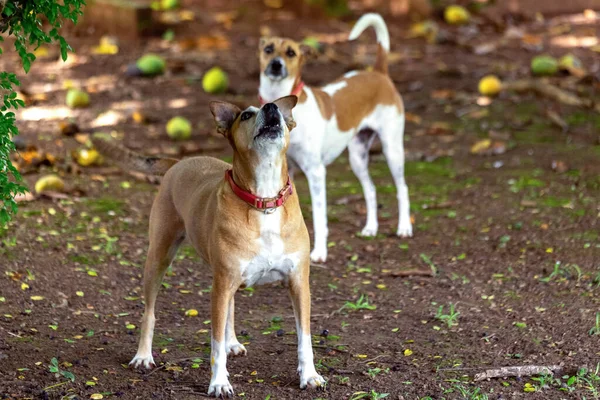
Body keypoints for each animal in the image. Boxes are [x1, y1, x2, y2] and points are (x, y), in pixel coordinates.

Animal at [93, 96, 326, 396]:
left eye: (277, 110)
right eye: (246, 115)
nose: (271, 107)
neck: (263, 202)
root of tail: (179, 162)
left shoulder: (298, 283)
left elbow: (304, 338)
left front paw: (309, 376)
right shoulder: (222, 284)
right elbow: (215, 345)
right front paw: (219, 382)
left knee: (230, 310)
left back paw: (232, 342)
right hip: (159, 258)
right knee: (149, 312)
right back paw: (143, 356)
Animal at [258, 13, 412, 262]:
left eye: (291, 52)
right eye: (268, 49)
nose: (276, 64)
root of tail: (378, 72)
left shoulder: (316, 172)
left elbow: (320, 218)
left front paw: (319, 252)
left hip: (392, 150)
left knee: (402, 188)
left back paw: (405, 227)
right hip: (357, 157)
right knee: (371, 190)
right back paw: (371, 228)